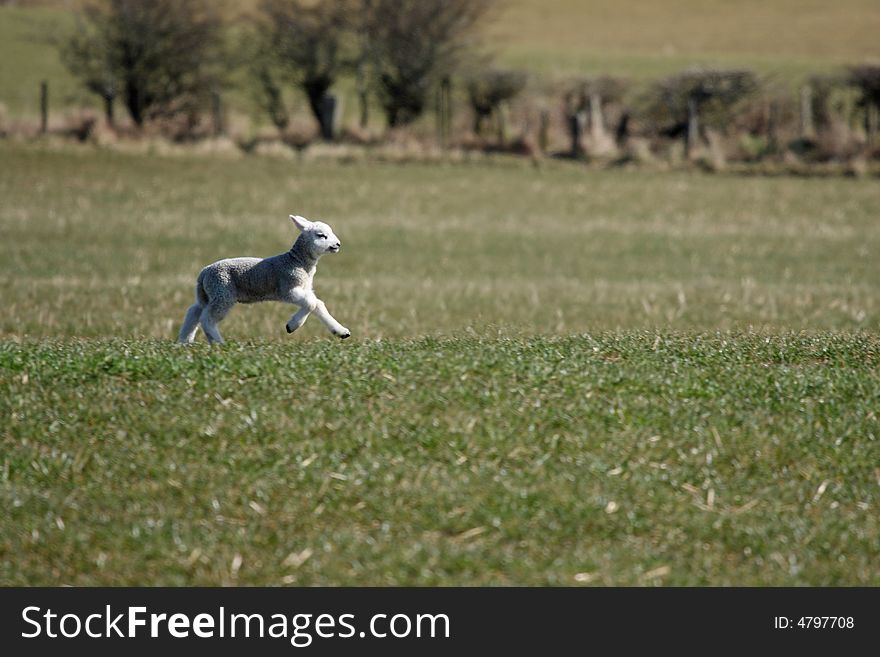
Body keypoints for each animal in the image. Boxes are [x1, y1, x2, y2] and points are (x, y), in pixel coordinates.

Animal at [178, 217, 350, 344]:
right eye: (321, 235)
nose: (338, 244)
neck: (296, 261)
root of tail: (203, 273)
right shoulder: (288, 287)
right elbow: (311, 303)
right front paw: (291, 326)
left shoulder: (305, 288)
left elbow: (318, 304)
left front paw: (341, 332)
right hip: (222, 292)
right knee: (207, 318)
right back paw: (218, 342)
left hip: (209, 293)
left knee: (194, 311)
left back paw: (185, 342)